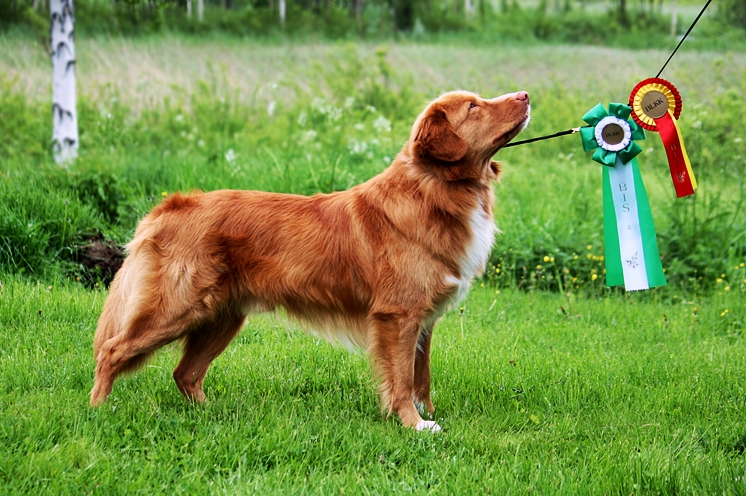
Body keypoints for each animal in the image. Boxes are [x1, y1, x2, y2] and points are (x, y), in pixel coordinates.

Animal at [90, 89, 528, 430]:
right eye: (473, 107)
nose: (525, 95)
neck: (435, 191)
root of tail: (171, 207)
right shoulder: (398, 316)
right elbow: (402, 378)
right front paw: (413, 424)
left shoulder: (423, 321)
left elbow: (422, 376)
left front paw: (427, 416)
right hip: (176, 308)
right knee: (112, 351)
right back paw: (98, 412)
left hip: (221, 317)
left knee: (185, 373)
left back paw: (211, 414)